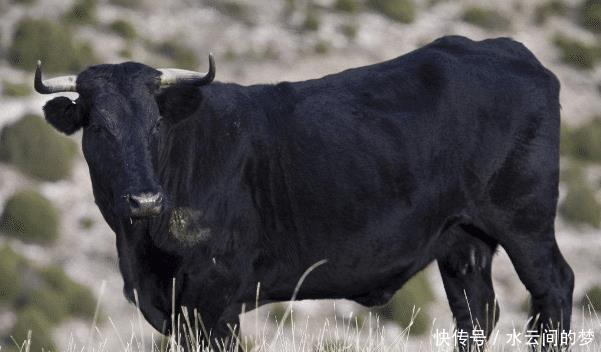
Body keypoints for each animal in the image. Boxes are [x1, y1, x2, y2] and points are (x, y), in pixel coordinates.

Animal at [36, 36, 572, 350]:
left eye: (156, 126)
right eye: (99, 127)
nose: (145, 200)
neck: (141, 248)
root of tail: (504, 48)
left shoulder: (215, 297)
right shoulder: (175, 305)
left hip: (525, 220)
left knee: (554, 287)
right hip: (463, 238)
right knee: (476, 311)